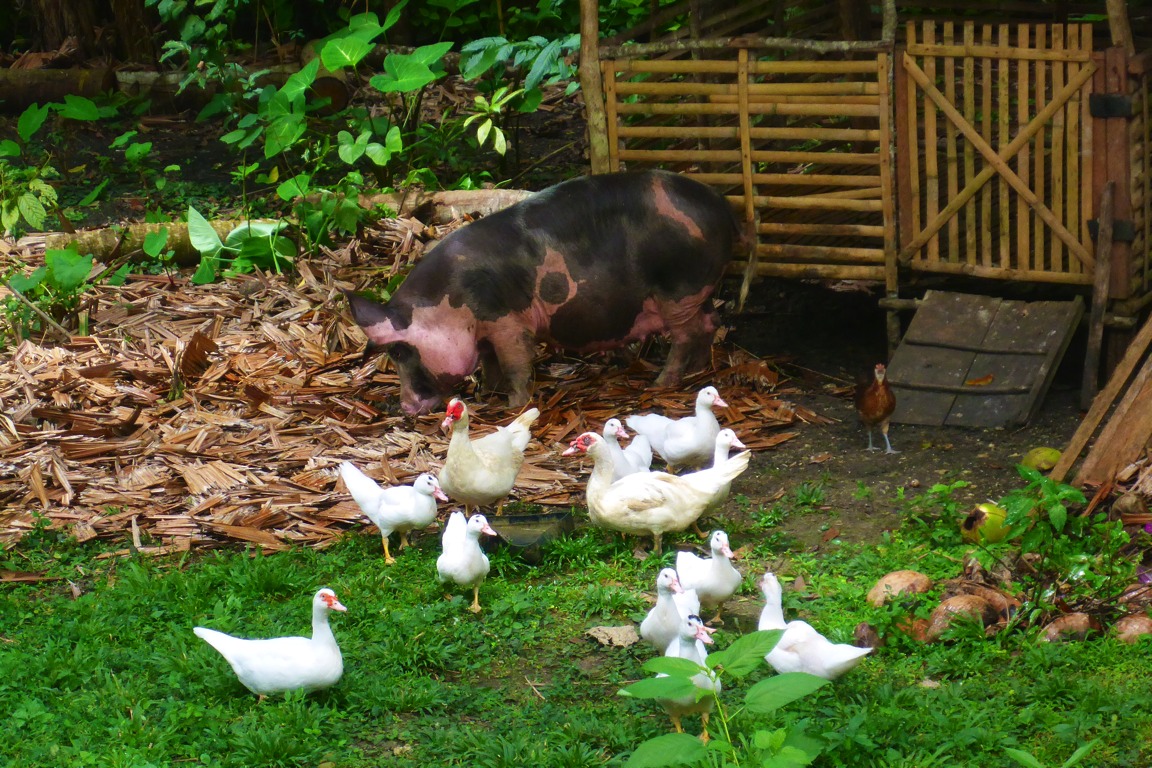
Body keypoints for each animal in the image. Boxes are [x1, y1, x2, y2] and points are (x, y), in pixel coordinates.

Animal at [345, 169, 737, 414]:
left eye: (399, 351)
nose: (406, 407)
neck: (450, 303)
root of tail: (722, 206)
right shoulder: (486, 331)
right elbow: (489, 362)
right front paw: (486, 393)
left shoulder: (508, 322)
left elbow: (515, 363)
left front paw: (512, 406)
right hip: (696, 292)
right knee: (710, 322)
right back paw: (698, 370)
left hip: (679, 288)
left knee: (685, 334)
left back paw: (661, 383)